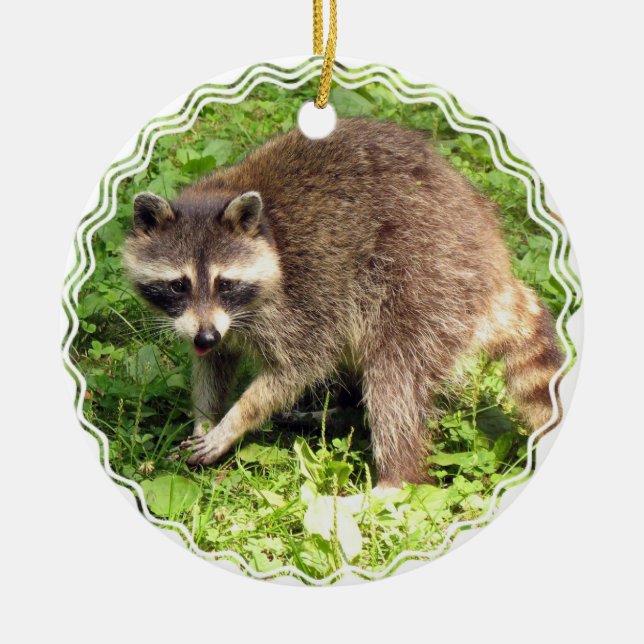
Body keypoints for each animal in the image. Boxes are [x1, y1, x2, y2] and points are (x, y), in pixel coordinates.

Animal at [123, 118, 563, 486]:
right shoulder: (220, 323)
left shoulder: (304, 296)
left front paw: (236, 420)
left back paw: (394, 479)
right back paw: (341, 410)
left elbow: (297, 367)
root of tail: (494, 266)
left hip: (429, 281)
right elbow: (214, 365)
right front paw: (206, 417)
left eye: (225, 283)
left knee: (394, 376)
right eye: (178, 285)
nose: (206, 336)